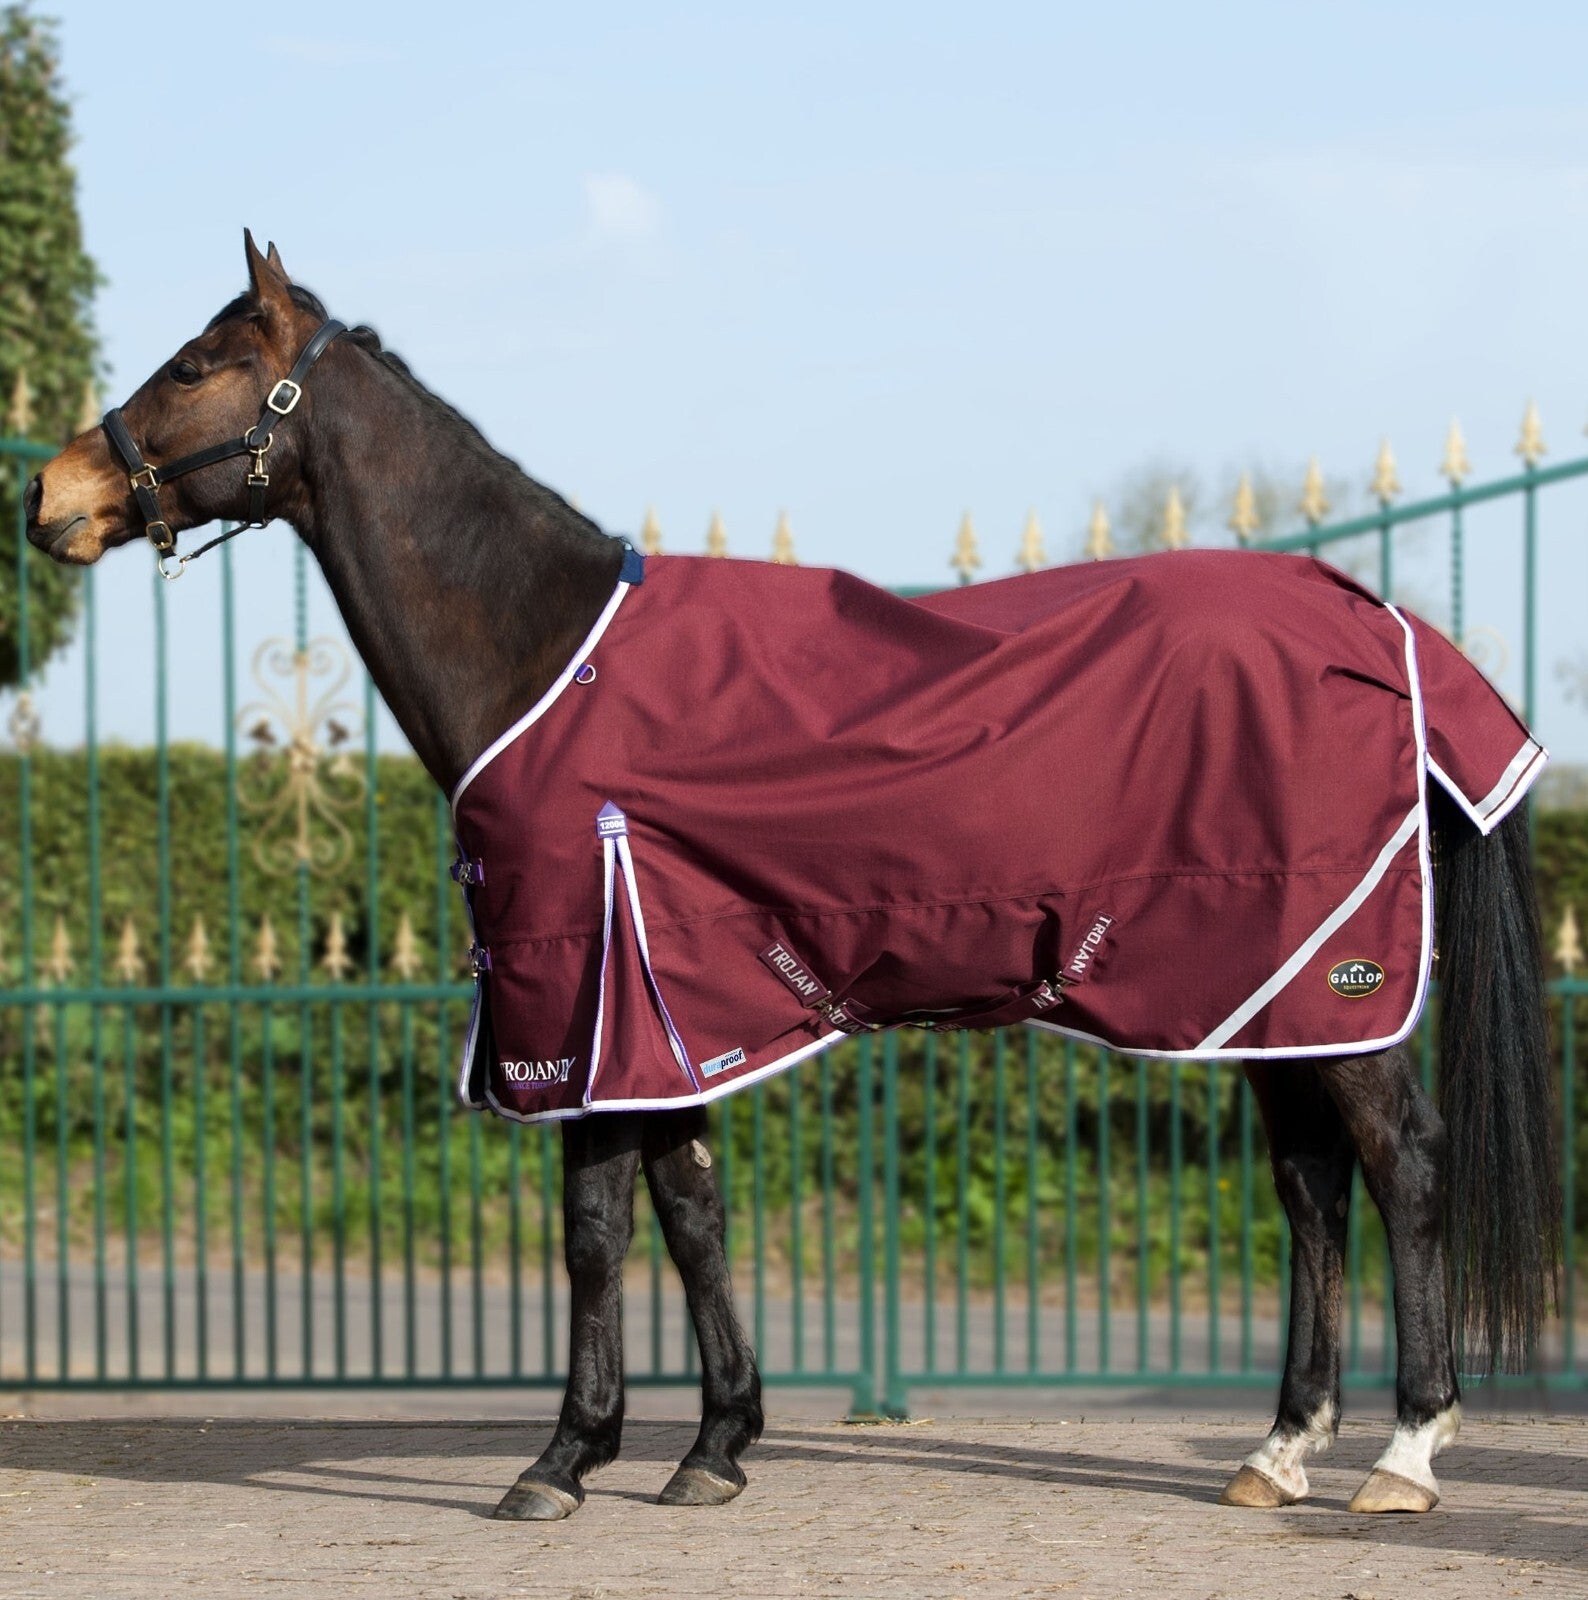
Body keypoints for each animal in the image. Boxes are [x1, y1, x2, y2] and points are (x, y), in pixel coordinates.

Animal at [25, 231, 1559, 1521]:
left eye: (192, 366)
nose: (50, 493)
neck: (544, 653)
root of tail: (1375, 624)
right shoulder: (668, 1012)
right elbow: (693, 1216)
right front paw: (713, 1445)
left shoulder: (581, 999)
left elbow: (595, 1232)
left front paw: (563, 1459)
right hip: (1265, 996)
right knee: (1311, 1190)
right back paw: (1279, 1449)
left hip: (1336, 985)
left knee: (1405, 1168)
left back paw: (1406, 1457)